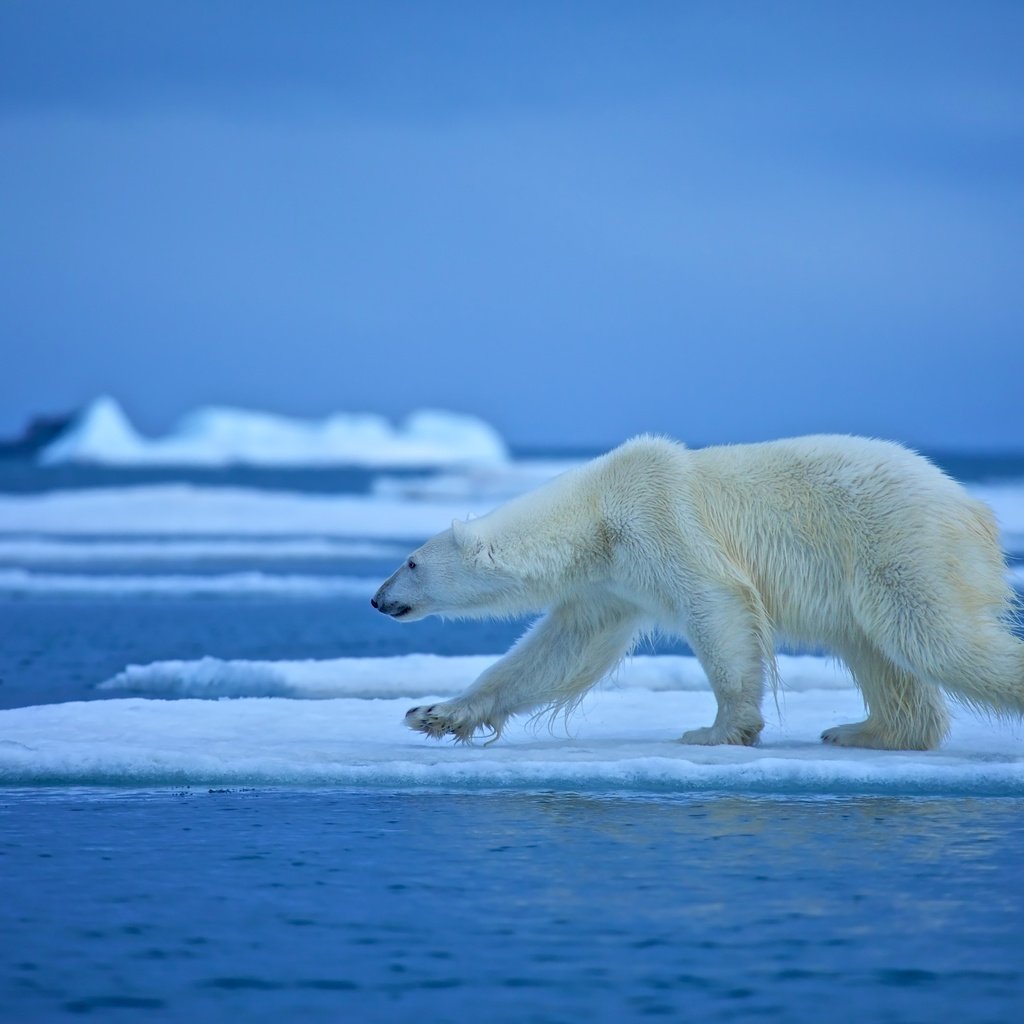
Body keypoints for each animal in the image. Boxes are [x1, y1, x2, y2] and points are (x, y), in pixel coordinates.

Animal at [370, 436, 1024, 749]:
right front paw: (433, 713)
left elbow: (716, 604)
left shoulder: (659, 521)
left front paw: (718, 730)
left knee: (937, 638)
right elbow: (560, 651)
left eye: (410, 562)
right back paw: (862, 730)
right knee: (878, 652)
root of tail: (973, 507)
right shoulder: (612, 581)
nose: (377, 599)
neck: (596, 512)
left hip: (898, 545)